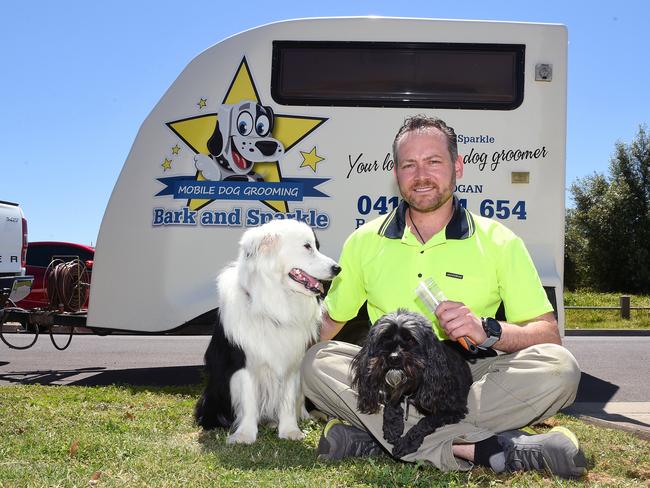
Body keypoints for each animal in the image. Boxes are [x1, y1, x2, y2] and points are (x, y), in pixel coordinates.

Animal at [350, 308, 470, 458]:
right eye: (384, 338)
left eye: (411, 340)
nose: (393, 357)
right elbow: (391, 403)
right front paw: (392, 427)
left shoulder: (454, 410)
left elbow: (425, 421)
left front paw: (407, 443)